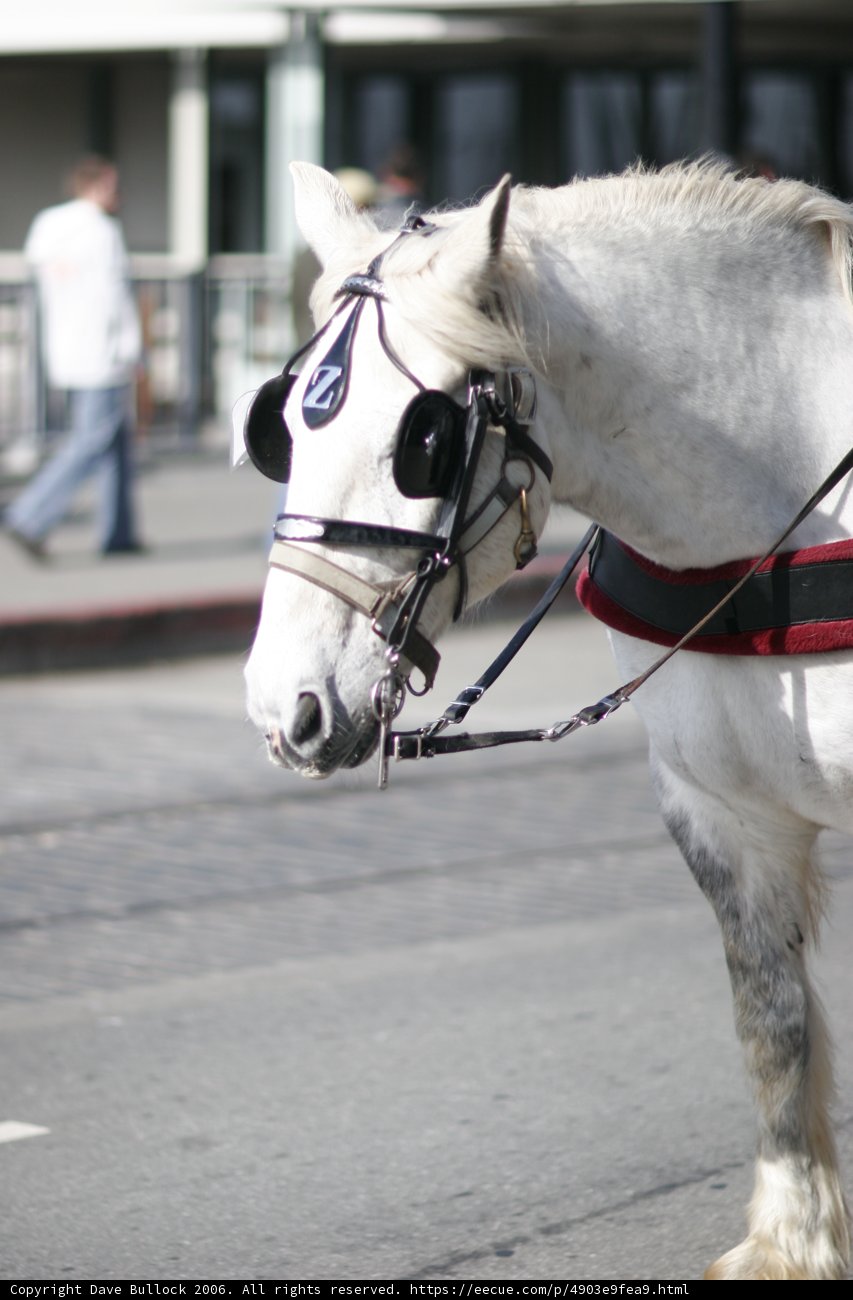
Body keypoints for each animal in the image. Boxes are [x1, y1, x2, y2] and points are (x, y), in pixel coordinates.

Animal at [242, 159, 853, 1279]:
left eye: (423, 439)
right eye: (285, 428)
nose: (283, 706)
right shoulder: (718, 808)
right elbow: (770, 1019)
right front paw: (792, 1241)